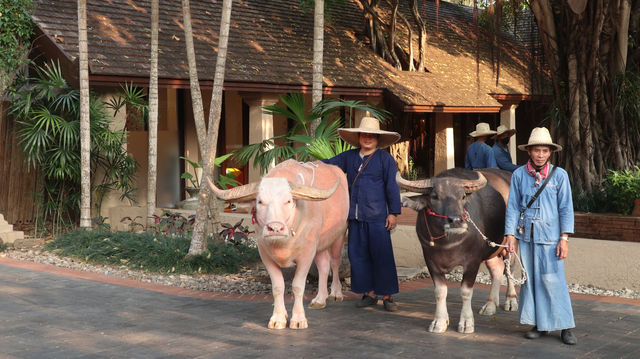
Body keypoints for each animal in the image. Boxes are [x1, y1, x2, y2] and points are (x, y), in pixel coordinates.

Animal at [208, 160, 348, 330]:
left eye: (288, 201)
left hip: (340, 234)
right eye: (260, 201)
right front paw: (279, 317)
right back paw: (320, 299)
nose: (275, 228)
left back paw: (335, 293)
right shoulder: (265, 255)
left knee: (334, 262)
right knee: (324, 264)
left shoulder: (306, 254)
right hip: (320, 242)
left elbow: (297, 286)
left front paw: (298, 319)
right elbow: (278, 287)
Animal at [396, 169, 520, 334]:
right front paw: (439, 321)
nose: (456, 221)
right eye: (434, 196)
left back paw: (511, 300)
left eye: (462, 196)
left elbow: (466, 292)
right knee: (497, 270)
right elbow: (440, 291)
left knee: (509, 269)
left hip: (511, 244)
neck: (447, 243)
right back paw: (490, 305)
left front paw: (466, 322)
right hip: (491, 250)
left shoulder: (472, 262)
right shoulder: (430, 261)